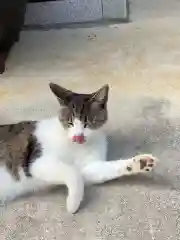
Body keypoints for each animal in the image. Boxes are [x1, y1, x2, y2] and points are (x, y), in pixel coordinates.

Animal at [0, 83, 158, 214]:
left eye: (88, 123)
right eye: (69, 122)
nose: (78, 137)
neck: (76, 146)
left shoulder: (89, 166)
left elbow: (92, 172)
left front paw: (141, 163)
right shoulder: (38, 161)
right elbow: (73, 173)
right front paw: (72, 204)